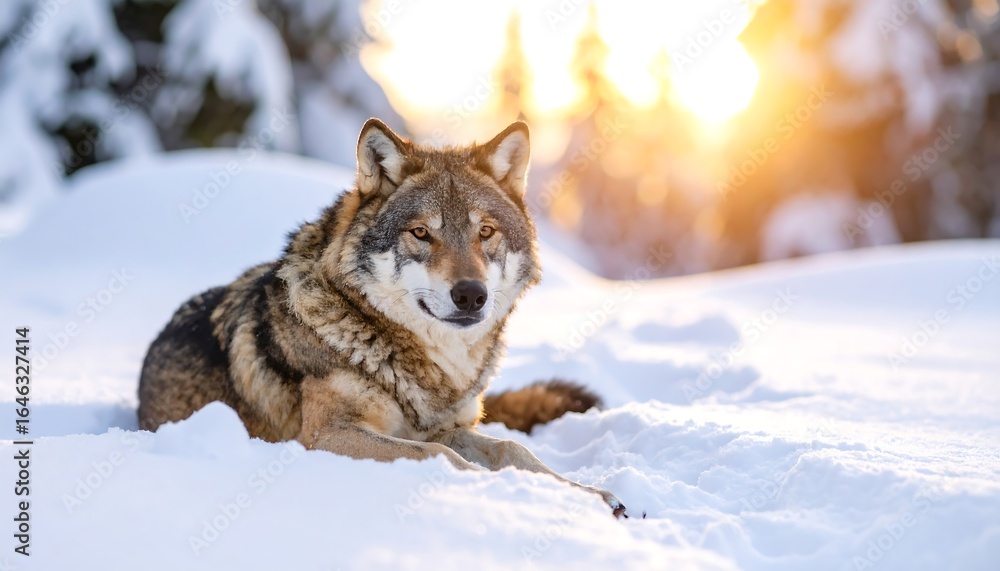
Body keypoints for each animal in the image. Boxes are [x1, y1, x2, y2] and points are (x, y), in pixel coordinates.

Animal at [138, 119, 625, 516]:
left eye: (485, 232)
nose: (471, 295)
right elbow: (438, 456)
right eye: (421, 233)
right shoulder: (325, 436)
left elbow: (513, 450)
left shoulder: (447, 426)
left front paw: (590, 495)